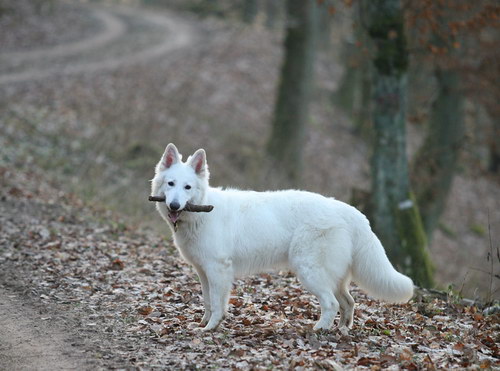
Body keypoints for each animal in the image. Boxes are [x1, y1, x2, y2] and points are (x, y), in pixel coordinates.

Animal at [152, 144, 414, 332]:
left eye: (187, 187)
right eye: (171, 184)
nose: (174, 205)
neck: (201, 214)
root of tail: (351, 211)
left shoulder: (218, 270)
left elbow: (217, 303)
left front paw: (211, 327)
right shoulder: (204, 272)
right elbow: (207, 301)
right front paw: (203, 323)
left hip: (309, 270)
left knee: (331, 303)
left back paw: (319, 330)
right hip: (334, 276)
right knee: (348, 302)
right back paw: (341, 330)